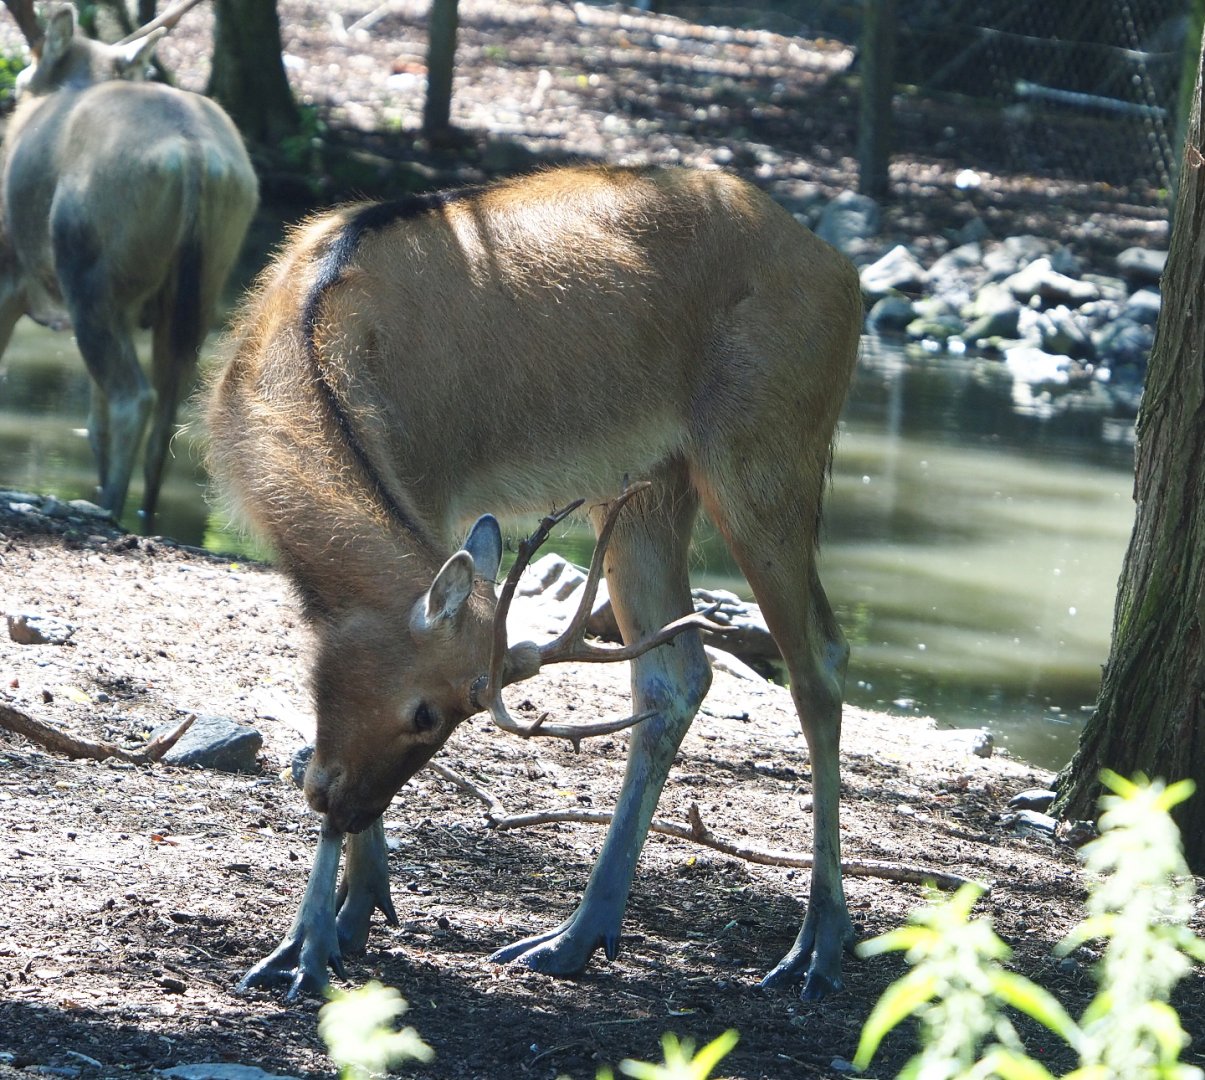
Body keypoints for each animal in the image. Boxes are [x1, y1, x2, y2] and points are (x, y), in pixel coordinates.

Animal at [0, 1, 258, 524]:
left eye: (17, 85)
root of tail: (192, 155)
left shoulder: (8, 269)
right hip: (201, 289)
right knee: (167, 417)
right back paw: (143, 512)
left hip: (90, 276)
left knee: (132, 398)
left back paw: (108, 509)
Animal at [206, 163, 863, 1002]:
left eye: (429, 717)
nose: (340, 802)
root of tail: (843, 274)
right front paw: (348, 917)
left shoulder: (436, 477)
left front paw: (313, 943)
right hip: (648, 481)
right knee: (676, 674)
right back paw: (575, 936)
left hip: (766, 447)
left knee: (819, 662)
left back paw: (819, 940)